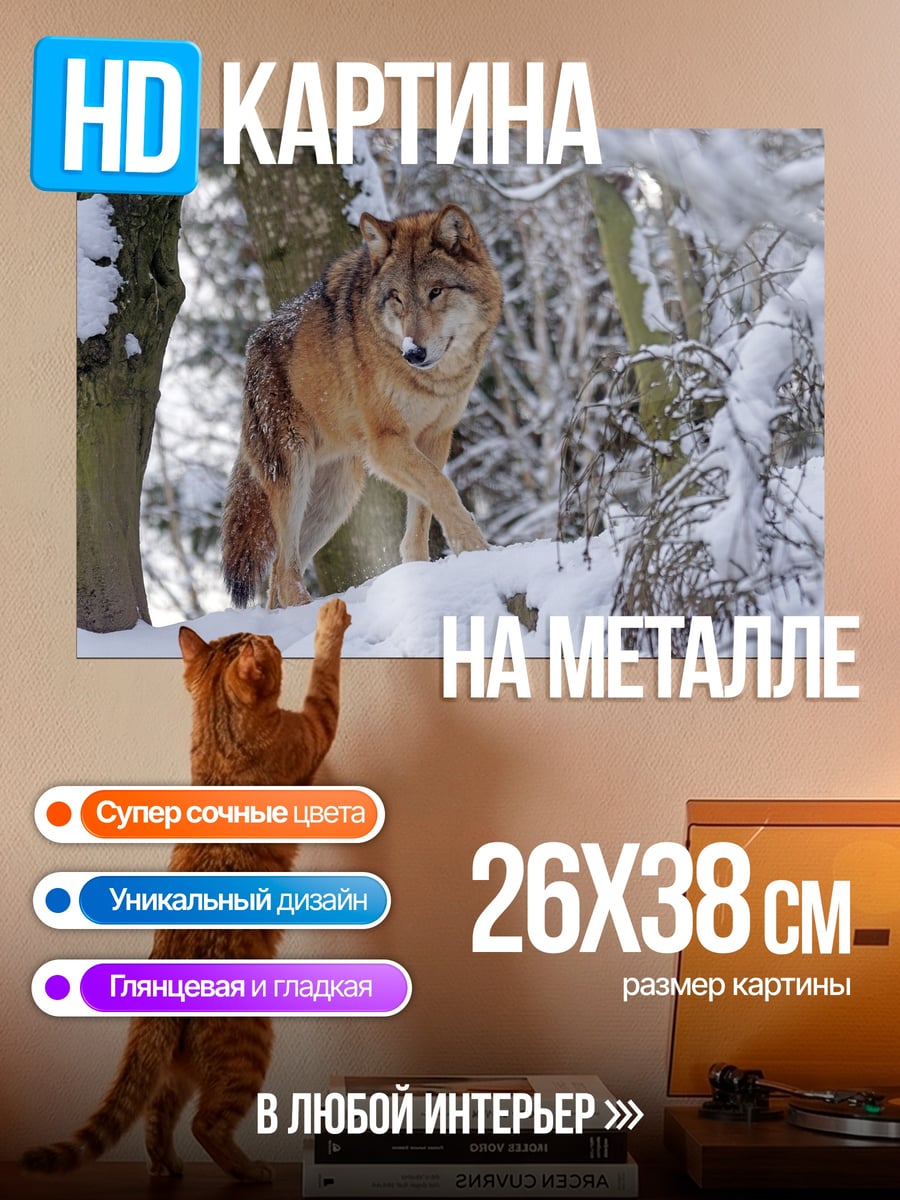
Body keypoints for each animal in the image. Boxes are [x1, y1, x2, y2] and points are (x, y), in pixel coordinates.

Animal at [222, 204, 503, 608]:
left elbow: (423, 510)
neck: (432, 382)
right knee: (284, 570)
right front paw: (476, 548)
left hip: (336, 499)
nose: (413, 352)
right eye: (397, 297)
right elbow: (443, 489)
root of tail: (252, 348)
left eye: (435, 292)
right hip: (295, 475)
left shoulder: (435, 437)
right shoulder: (386, 444)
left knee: (278, 574)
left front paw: (422, 572)